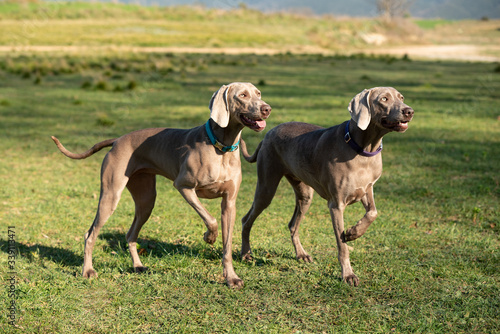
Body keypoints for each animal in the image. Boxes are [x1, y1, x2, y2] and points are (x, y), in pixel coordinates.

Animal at [51, 82, 270, 288]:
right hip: (111, 195)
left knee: (131, 234)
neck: (221, 146)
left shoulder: (229, 203)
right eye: (242, 95)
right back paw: (88, 270)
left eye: (258, 93)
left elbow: (227, 245)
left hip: (146, 198)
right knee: (90, 234)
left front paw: (231, 278)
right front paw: (209, 237)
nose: (267, 108)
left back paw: (138, 266)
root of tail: (117, 140)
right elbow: (210, 219)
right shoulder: (183, 186)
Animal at [240, 87, 412, 286]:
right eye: (384, 99)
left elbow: (373, 213)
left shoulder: (367, 189)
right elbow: (342, 246)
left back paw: (301, 254)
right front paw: (348, 275)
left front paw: (353, 232)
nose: (409, 111)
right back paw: (245, 254)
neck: (363, 148)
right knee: (246, 219)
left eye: (401, 97)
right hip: (266, 186)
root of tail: (269, 133)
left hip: (305, 194)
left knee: (292, 224)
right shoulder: (336, 205)